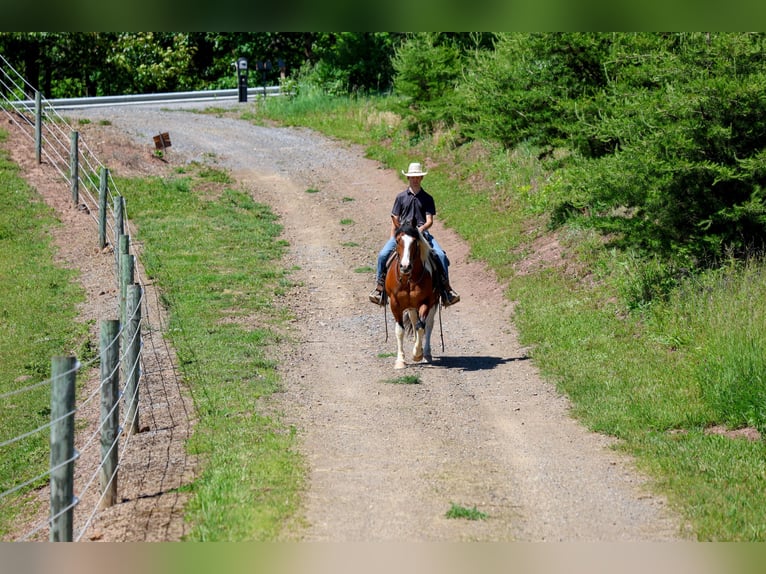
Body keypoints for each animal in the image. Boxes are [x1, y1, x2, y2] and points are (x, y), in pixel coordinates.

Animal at [385, 223, 440, 369]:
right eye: (397, 241)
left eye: (415, 242)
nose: (405, 266)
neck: (408, 280)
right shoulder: (395, 304)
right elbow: (400, 330)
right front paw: (400, 361)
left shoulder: (426, 302)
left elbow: (422, 327)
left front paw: (417, 354)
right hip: (411, 307)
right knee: (415, 322)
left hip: (433, 303)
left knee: (428, 325)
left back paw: (426, 354)